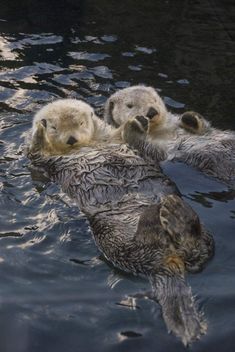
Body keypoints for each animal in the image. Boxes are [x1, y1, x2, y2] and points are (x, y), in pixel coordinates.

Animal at [26, 98, 214, 344]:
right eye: (55, 128)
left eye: (80, 123)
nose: (71, 139)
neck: (88, 144)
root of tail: (167, 259)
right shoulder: (42, 161)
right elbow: (36, 151)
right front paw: (39, 130)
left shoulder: (111, 136)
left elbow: (122, 134)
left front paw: (137, 122)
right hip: (113, 240)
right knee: (143, 248)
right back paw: (159, 216)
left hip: (204, 238)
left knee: (200, 252)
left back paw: (171, 213)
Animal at [104, 86, 235, 184]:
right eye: (130, 105)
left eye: (154, 100)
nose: (152, 111)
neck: (161, 130)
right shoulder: (167, 151)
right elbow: (153, 150)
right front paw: (133, 126)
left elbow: (205, 128)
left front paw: (190, 118)